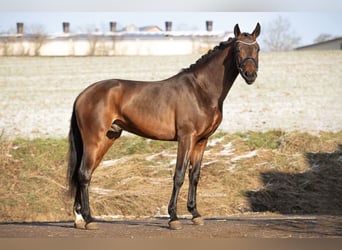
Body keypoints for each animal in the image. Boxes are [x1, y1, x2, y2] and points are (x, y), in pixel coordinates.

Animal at [67, 23, 262, 230]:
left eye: (257, 49)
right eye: (238, 49)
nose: (250, 75)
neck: (200, 90)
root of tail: (83, 94)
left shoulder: (202, 141)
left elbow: (195, 175)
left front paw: (195, 214)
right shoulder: (186, 138)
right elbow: (179, 175)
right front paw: (173, 217)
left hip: (106, 139)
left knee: (84, 174)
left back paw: (79, 218)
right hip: (94, 140)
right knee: (84, 173)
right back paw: (89, 219)